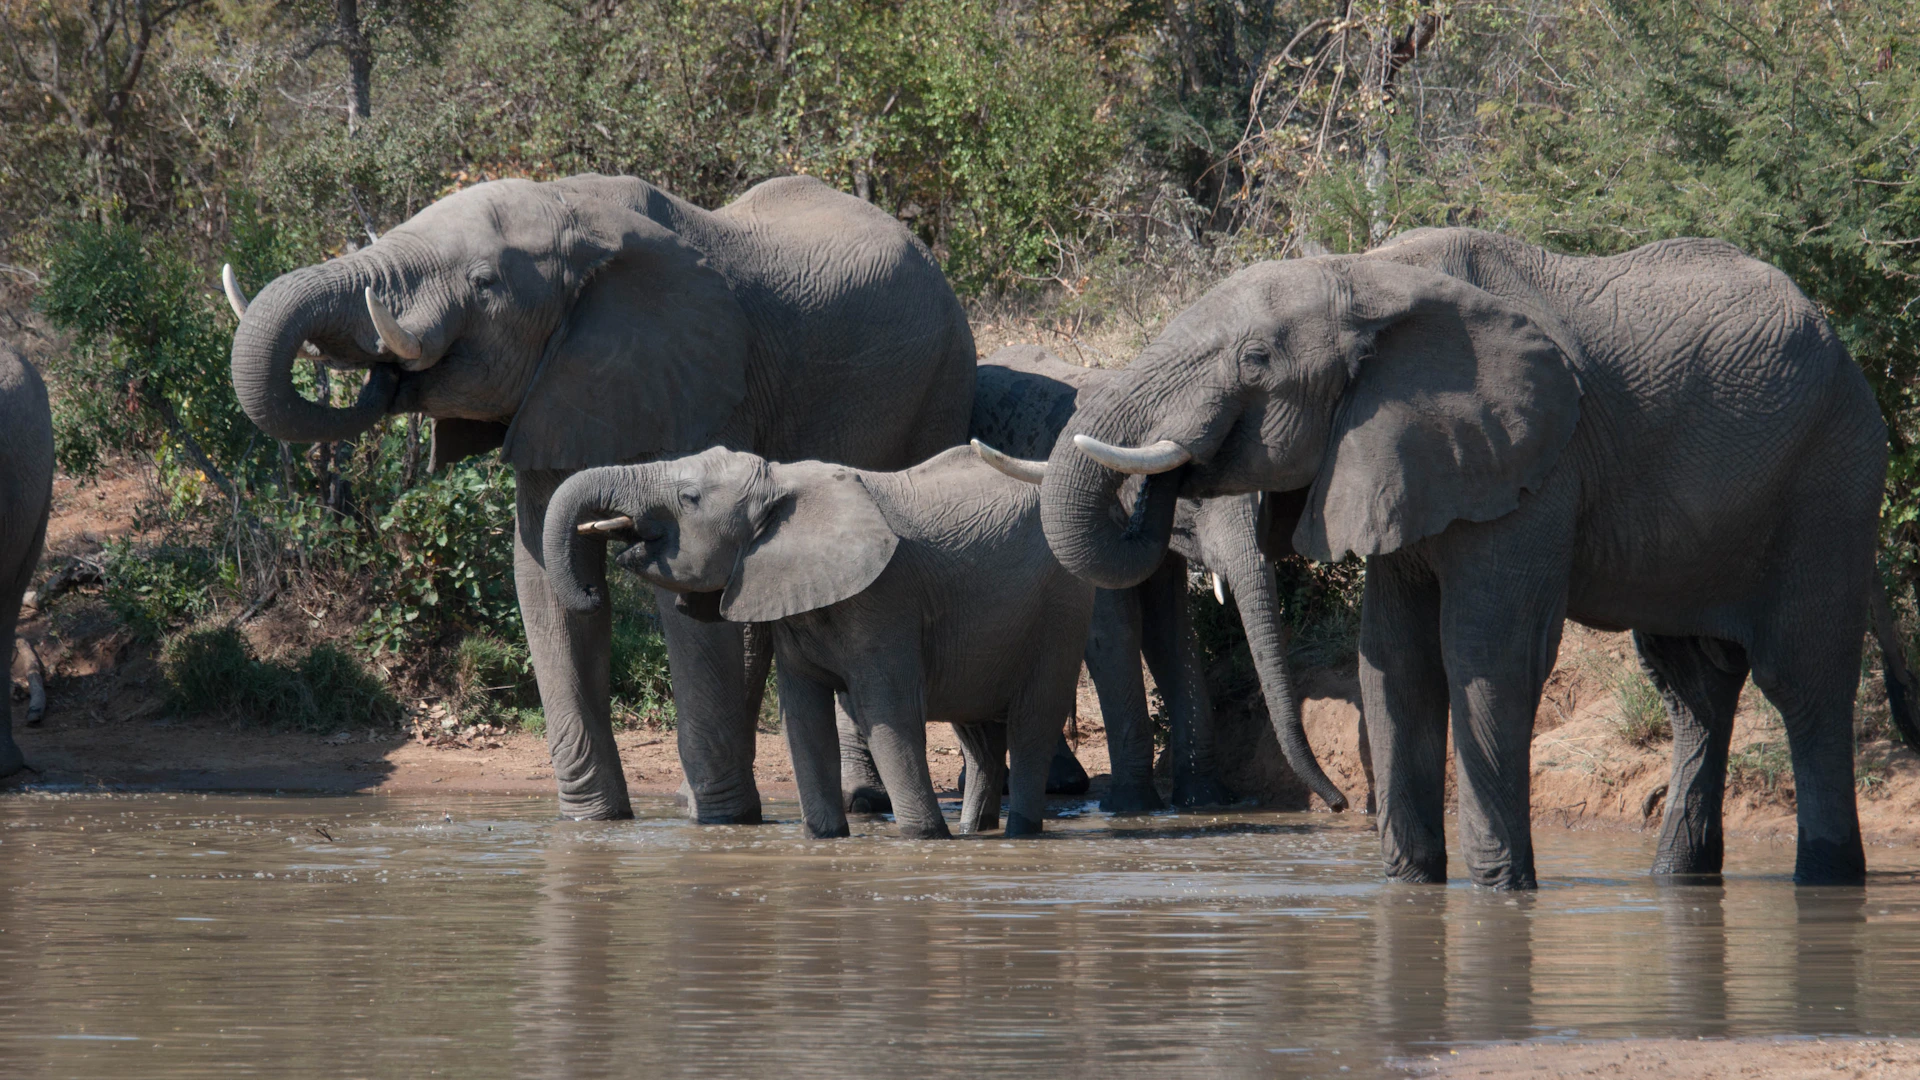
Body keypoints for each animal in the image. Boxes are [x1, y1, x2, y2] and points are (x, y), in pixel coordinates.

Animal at [224, 173, 975, 823]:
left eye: (483, 283)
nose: (384, 369)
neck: (575, 215)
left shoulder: (697, 383)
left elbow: (685, 589)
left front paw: (722, 828)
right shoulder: (559, 391)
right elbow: (540, 576)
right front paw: (594, 825)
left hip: (939, 385)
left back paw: (855, 803)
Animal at [542, 446, 1095, 839]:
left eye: (690, 498)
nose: (591, 591)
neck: (781, 482)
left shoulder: (886, 599)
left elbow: (889, 715)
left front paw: (923, 838)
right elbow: (804, 721)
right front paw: (826, 839)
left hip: (1061, 608)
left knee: (1031, 722)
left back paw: (1019, 833)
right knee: (977, 734)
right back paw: (975, 831)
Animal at [967, 345, 1351, 813]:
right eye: (1197, 499)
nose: (1338, 804)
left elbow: (1169, 630)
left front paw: (1205, 800)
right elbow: (1114, 633)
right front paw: (1132, 807)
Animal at [1035, 226, 1885, 888]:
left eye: (1255, 360)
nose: (1337, 804)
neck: (1367, 274)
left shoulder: (1536, 464)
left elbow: (1485, 652)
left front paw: (1498, 891)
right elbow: (1394, 660)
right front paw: (1411, 887)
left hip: (1830, 478)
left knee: (1804, 679)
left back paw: (1826, 879)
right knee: (1693, 688)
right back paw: (1678, 878)